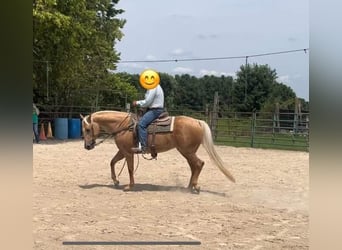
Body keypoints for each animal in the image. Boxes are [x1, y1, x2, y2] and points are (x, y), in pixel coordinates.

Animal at [80, 110, 235, 193]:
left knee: (199, 164)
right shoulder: (122, 151)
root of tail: (197, 121)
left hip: (188, 151)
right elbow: (112, 162)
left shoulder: (128, 153)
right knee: (194, 167)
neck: (122, 126)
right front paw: (116, 180)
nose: (87, 146)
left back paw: (195, 186)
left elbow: (130, 169)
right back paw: (189, 186)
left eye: (87, 129)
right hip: (186, 152)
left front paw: (129, 186)